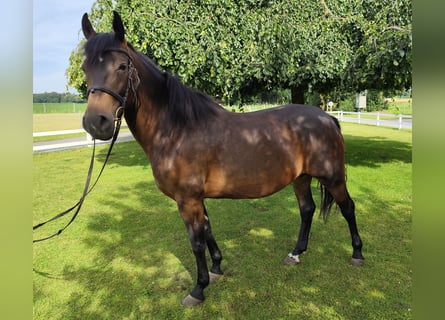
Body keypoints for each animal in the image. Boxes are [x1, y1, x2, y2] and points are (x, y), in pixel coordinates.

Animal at [80, 11, 364, 308]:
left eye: (122, 66)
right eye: (85, 68)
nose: (96, 123)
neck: (177, 129)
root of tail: (327, 117)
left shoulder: (187, 200)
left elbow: (195, 241)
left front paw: (198, 288)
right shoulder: (196, 199)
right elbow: (207, 229)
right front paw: (216, 268)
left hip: (332, 177)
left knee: (348, 208)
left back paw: (357, 254)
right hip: (301, 177)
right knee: (307, 209)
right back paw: (296, 253)